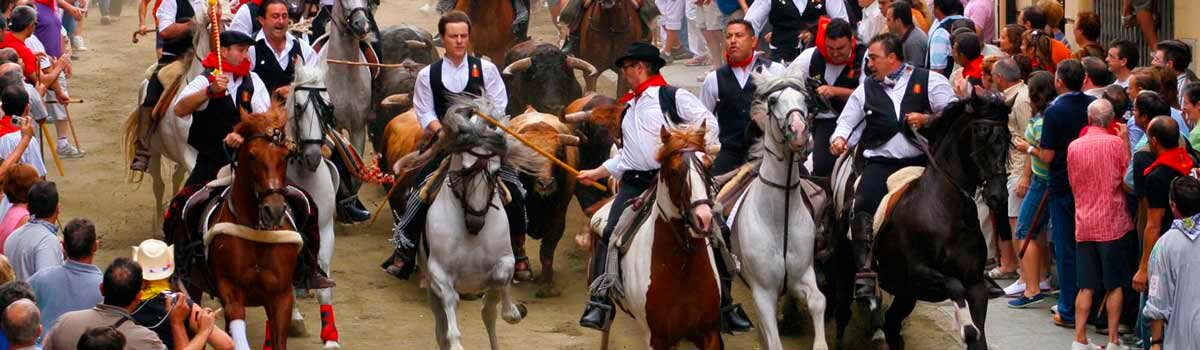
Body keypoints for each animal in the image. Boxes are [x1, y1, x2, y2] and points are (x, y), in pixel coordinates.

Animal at [415, 100, 542, 347]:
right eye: (465, 170)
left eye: (496, 171)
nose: (475, 222)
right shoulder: (438, 273)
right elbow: (450, 303)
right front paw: (456, 342)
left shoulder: (506, 260)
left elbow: (501, 278)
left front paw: (514, 312)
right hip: (432, 292)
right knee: (441, 328)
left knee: (488, 314)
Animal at [729, 74, 825, 350]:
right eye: (772, 100)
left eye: (805, 99)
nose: (800, 132)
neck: (778, 218)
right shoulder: (763, 292)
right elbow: (772, 338)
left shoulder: (801, 275)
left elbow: (818, 301)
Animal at [854, 93, 1012, 350]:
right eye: (980, 133)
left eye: (1007, 138)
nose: (998, 196)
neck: (948, 213)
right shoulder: (919, 272)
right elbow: (955, 287)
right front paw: (965, 326)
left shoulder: (976, 284)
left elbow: (979, 338)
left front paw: (971, 329)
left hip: (906, 294)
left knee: (891, 324)